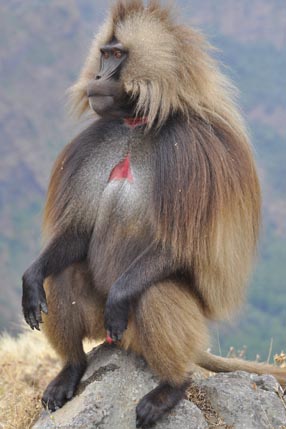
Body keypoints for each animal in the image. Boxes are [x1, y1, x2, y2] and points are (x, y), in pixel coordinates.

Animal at [21, 1, 286, 426]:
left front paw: (120, 298)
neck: (136, 123)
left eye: (117, 55)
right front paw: (30, 280)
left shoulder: (192, 153)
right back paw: (71, 369)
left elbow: (181, 248)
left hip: (142, 330)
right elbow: (78, 234)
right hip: (104, 331)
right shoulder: (96, 144)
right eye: (104, 53)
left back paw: (171, 388)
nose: (98, 76)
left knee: (152, 291)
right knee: (61, 274)